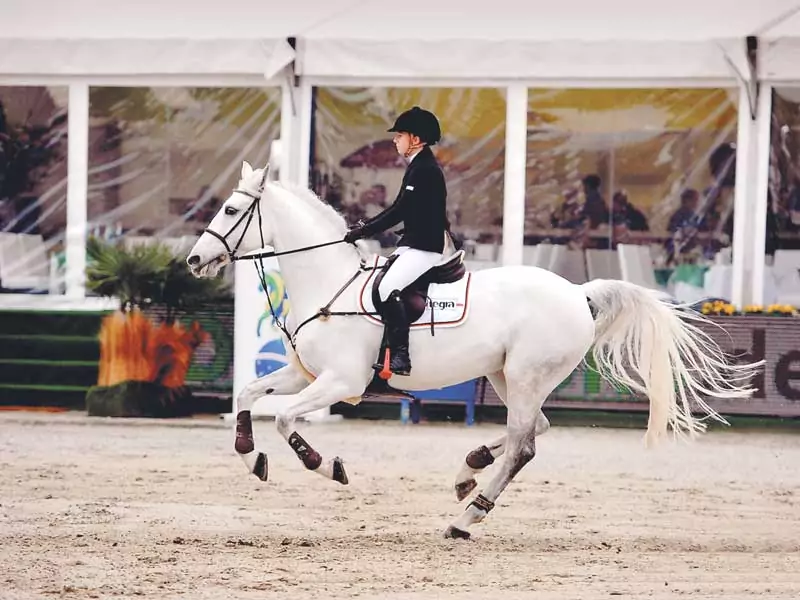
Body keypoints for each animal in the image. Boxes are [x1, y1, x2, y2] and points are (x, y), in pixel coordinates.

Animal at [186, 160, 762, 539]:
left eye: (232, 209)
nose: (193, 261)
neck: (329, 281)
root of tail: (577, 292)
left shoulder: (340, 383)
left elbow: (285, 419)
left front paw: (324, 465)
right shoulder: (306, 375)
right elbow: (248, 392)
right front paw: (250, 455)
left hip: (526, 375)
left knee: (525, 444)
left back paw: (467, 517)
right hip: (511, 376)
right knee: (532, 429)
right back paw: (470, 472)